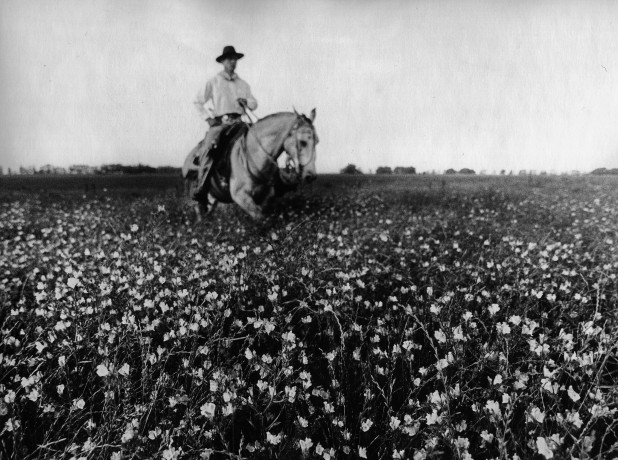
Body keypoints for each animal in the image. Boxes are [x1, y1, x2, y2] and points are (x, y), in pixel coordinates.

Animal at [179, 109, 316, 221]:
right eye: (303, 142)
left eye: (317, 141)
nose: (311, 175)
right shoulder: (240, 196)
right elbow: (260, 218)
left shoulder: (265, 197)